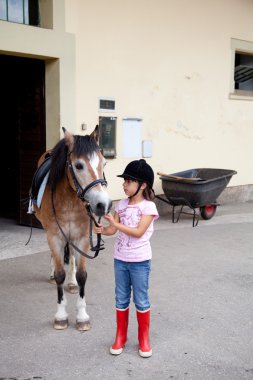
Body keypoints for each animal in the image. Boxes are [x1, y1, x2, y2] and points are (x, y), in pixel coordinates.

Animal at [31, 126, 111, 332]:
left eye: (104, 163)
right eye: (79, 165)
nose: (103, 205)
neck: (69, 199)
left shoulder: (82, 237)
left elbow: (82, 275)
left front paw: (82, 316)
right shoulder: (54, 235)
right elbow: (60, 274)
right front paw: (60, 316)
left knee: (73, 257)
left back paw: (72, 282)